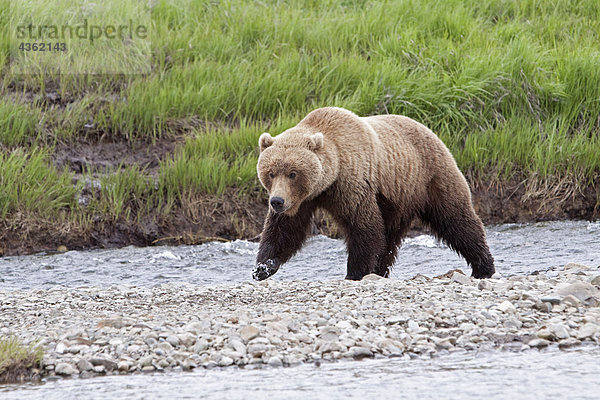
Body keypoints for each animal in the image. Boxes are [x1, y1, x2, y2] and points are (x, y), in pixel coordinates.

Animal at [253, 106, 492, 282]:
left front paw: (355, 272)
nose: (277, 201)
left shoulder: (352, 182)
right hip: (399, 198)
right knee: (389, 239)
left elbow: (363, 226)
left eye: (293, 173)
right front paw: (263, 267)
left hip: (430, 177)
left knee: (456, 219)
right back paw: (380, 270)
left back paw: (484, 266)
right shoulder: (303, 200)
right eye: (271, 172)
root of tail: (431, 130)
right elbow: (285, 229)